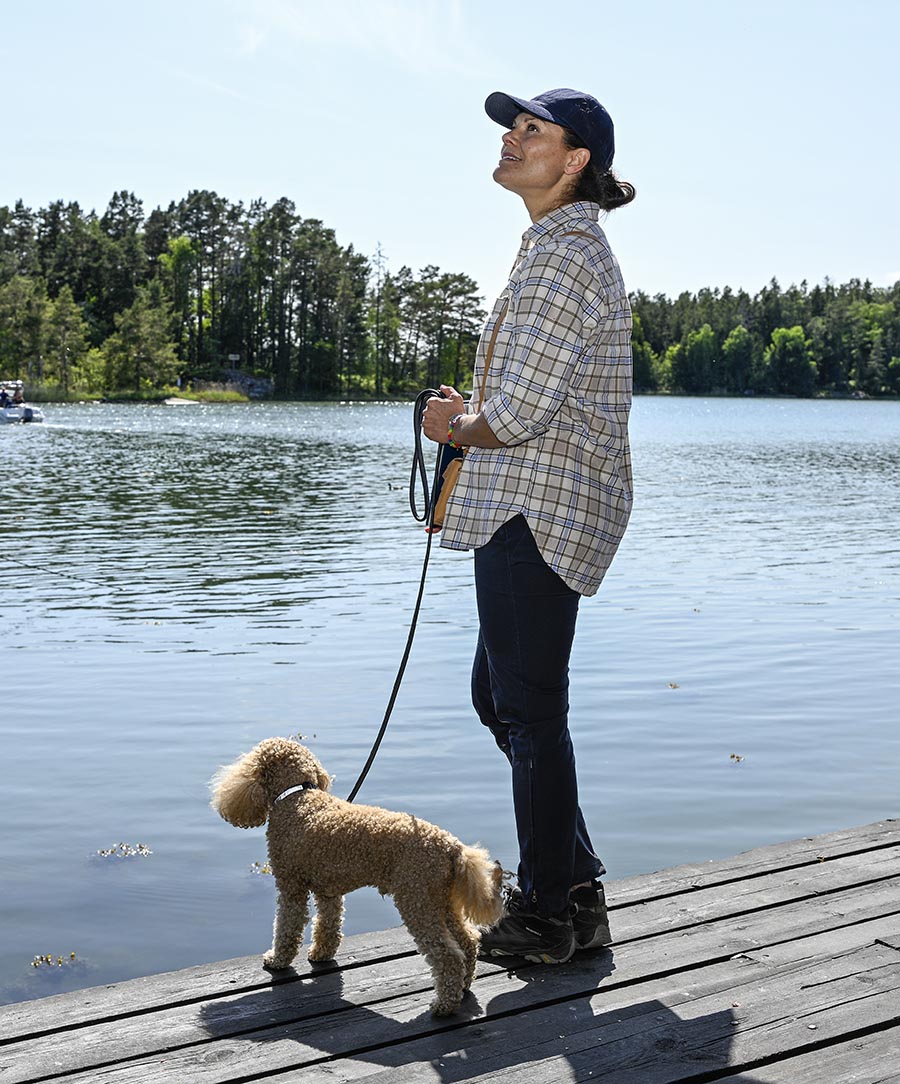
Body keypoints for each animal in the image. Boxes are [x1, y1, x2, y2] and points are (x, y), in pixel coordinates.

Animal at [212, 737, 507, 1014]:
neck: (297, 796)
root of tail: (452, 846)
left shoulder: (290, 886)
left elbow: (286, 927)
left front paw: (277, 960)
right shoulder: (328, 891)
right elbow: (328, 925)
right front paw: (320, 954)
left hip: (416, 899)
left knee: (448, 956)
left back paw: (443, 1006)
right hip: (440, 900)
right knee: (468, 941)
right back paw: (464, 986)